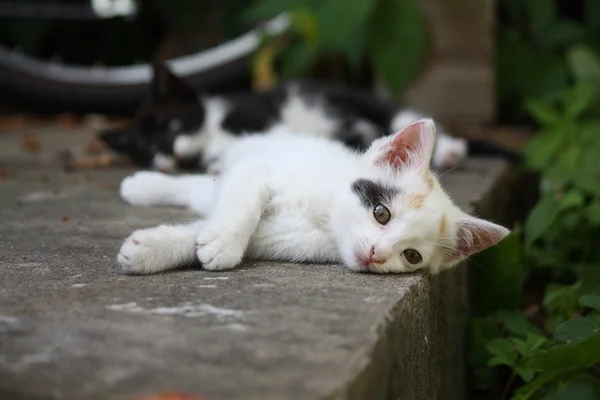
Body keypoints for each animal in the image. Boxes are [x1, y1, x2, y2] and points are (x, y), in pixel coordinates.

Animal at [102, 63, 468, 173]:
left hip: (355, 97)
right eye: (147, 151)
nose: (167, 155)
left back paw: (449, 149)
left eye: (170, 125)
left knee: (400, 115)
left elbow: (273, 134)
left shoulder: (258, 114)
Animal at [118, 119, 510, 276]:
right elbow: (245, 200)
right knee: (202, 187)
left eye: (411, 256)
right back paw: (142, 185)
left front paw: (151, 250)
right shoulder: (259, 170)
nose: (377, 254)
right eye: (381, 213)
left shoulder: (278, 240)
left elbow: (201, 231)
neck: (324, 220)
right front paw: (224, 242)